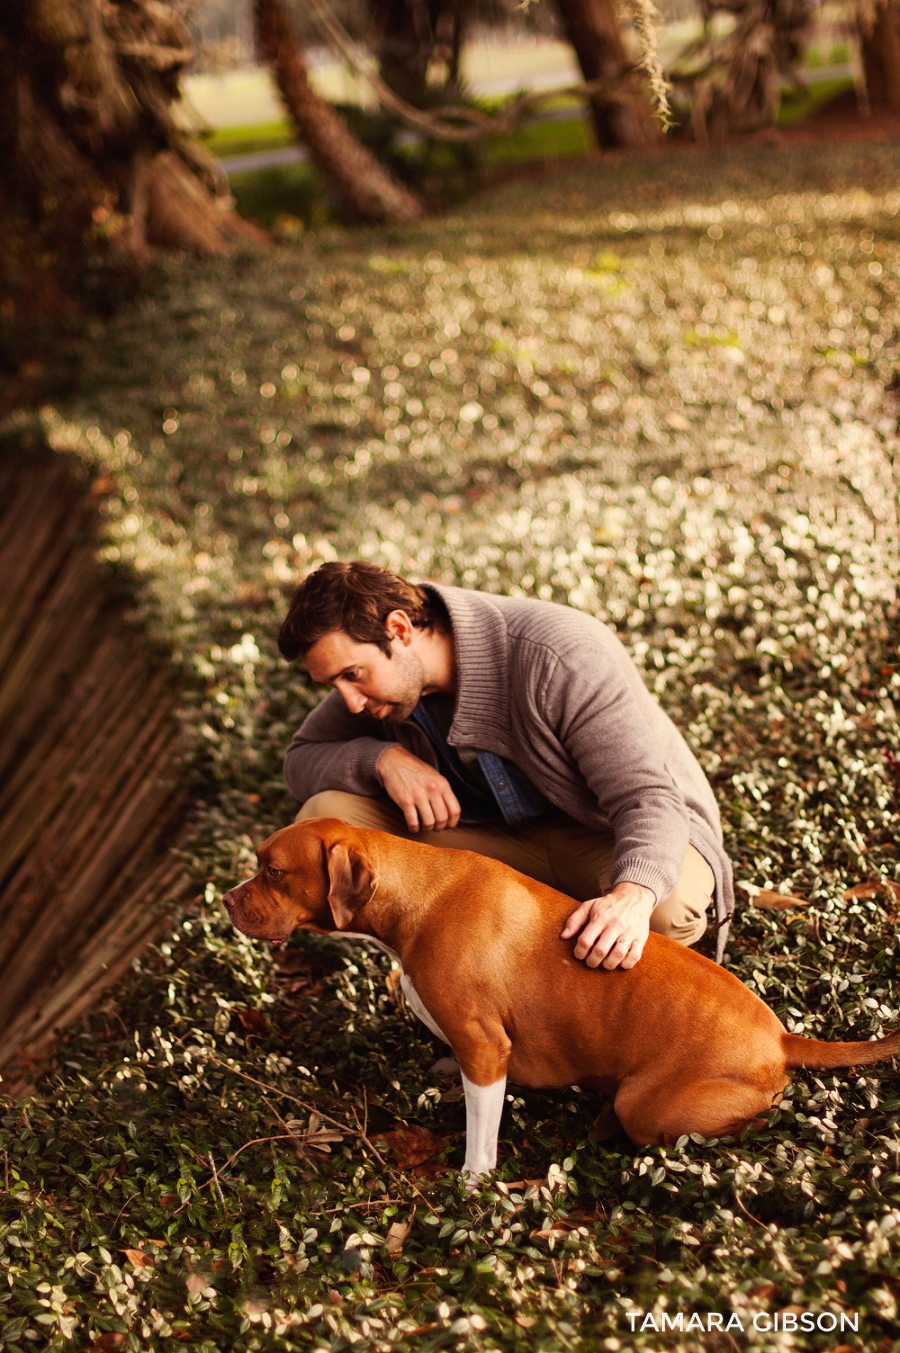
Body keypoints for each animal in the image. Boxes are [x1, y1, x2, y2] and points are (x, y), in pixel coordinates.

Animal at [219, 811, 898, 1185]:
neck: (419, 893)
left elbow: (482, 1128)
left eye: (274, 871)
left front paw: (473, 1183)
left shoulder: (486, 1049)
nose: (226, 899)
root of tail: (782, 1037)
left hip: (649, 1105)